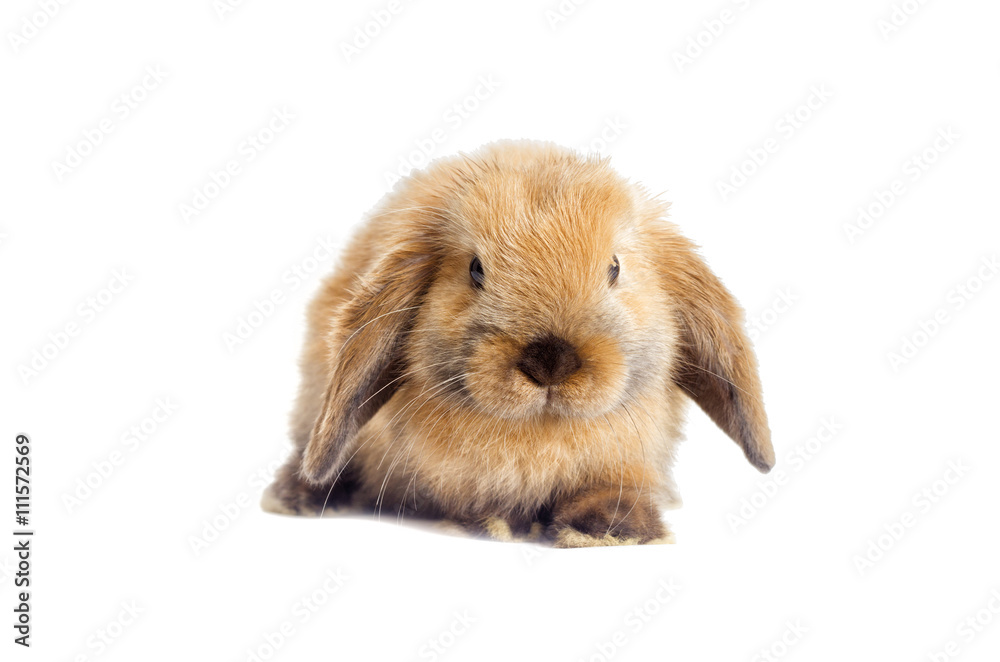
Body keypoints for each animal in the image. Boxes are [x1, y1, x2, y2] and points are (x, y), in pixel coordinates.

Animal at [261, 139, 774, 547]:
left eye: (614, 268)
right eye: (475, 270)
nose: (551, 359)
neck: (539, 431)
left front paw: (609, 528)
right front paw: (493, 523)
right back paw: (296, 495)